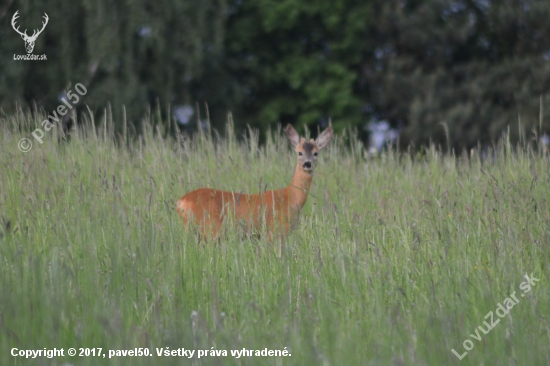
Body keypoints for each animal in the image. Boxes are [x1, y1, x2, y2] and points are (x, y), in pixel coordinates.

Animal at [177, 124, 334, 242]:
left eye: (316, 153)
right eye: (300, 152)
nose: (307, 164)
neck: (290, 197)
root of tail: (181, 202)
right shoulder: (274, 231)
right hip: (210, 228)